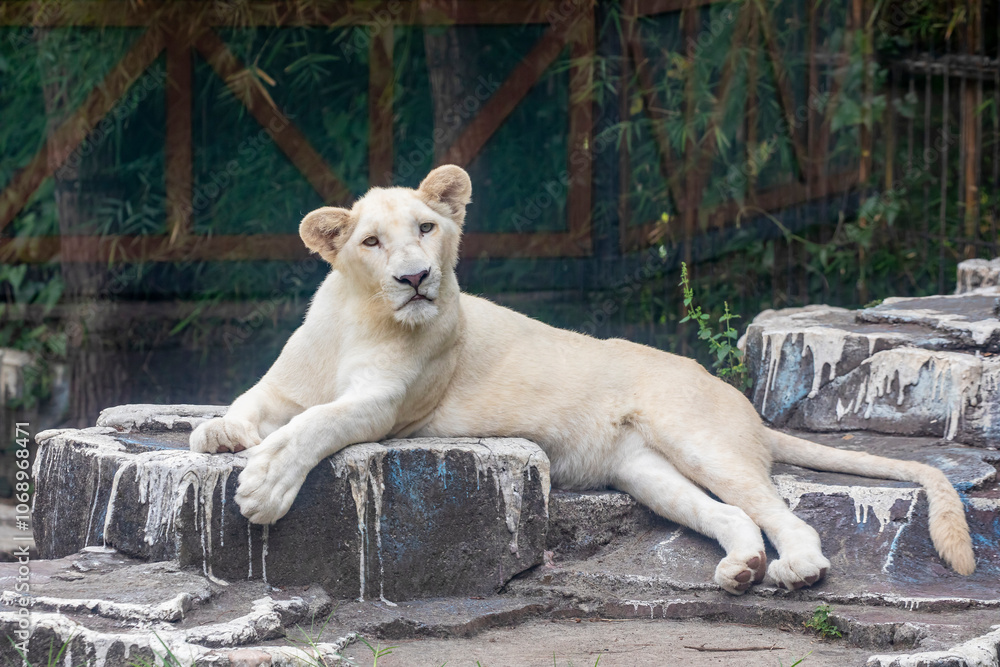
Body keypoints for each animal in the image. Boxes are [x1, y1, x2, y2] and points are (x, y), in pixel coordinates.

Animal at [190, 164, 975, 594]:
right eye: (372, 242)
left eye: (427, 229)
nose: (414, 279)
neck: (362, 313)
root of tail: (747, 406)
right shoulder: (285, 385)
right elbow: (257, 404)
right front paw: (217, 433)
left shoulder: (388, 403)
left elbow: (316, 423)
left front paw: (261, 487)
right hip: (645, 471)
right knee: (733, 517)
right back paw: (742, 569)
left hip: (700, 438)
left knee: (786, 515)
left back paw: (793, 570)